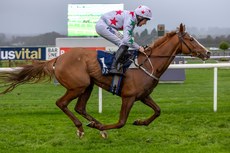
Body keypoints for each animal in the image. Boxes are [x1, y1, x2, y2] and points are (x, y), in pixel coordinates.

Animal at [0, 23, 210, 137]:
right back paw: (82, 127)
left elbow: (158, 111)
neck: (148, 64)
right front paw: (102, 125)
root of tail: (57, 59)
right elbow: (121, 121)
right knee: (61, 103)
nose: (207, 52)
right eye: (191, 39)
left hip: (88, 85)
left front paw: (140, 122)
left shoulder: (143, 96)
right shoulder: (128, 97)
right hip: (78, 85)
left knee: (80, 107)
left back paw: (94, 125)